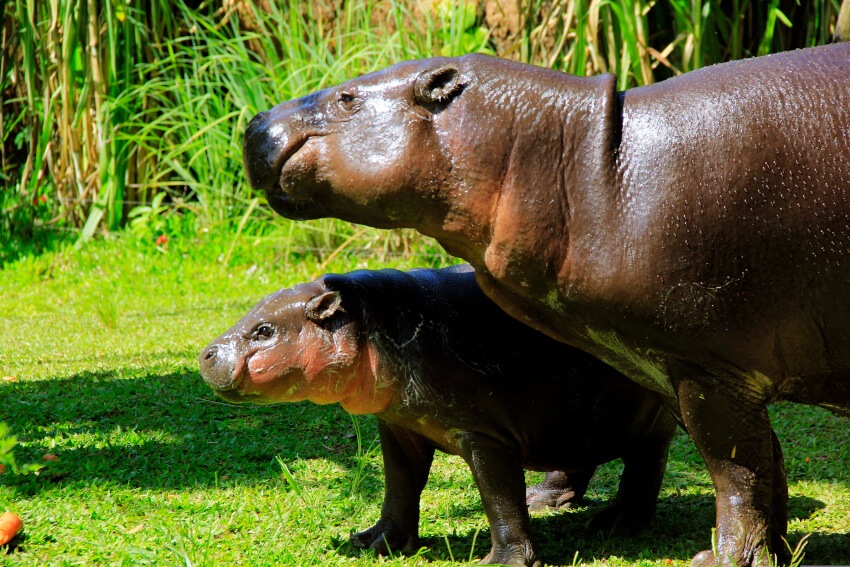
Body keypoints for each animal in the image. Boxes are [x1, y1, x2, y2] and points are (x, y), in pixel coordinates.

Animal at [199, 268, 676, 567]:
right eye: (250, 315)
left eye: (264, 330)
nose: (206, 352)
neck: (367, 319)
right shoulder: (398, 425)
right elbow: (400, 487)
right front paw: (373, 542)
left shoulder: (484, 436)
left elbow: (499, 498)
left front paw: (498, 562)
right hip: (576, 415)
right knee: (579, 457)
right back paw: (543, 500)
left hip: (649, 418)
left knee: (645, 467)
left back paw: (613, 525)